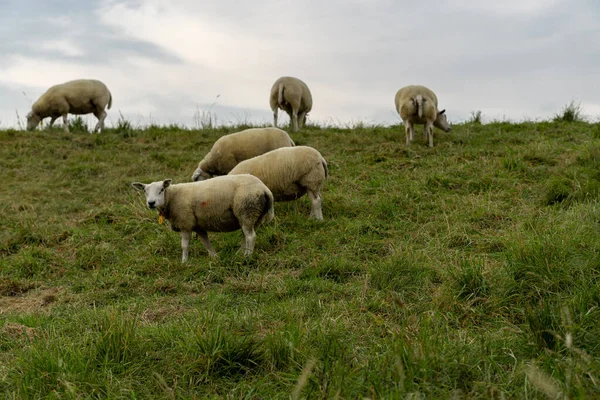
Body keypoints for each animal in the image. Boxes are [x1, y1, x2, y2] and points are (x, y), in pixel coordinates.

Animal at [132, 175, 276, 262]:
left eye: (161, 189)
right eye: (145, 191)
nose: (151, 203)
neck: (172, 197)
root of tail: (265, 189)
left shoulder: (186, 223)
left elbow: (184, 245)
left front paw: (184, 262)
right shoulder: (198, 225)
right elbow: (205, 242)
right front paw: (214, 257)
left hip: (246, 211)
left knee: (251, 237)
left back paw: (247, 257)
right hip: (254, 216)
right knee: (247, 236)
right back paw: (240, 254)